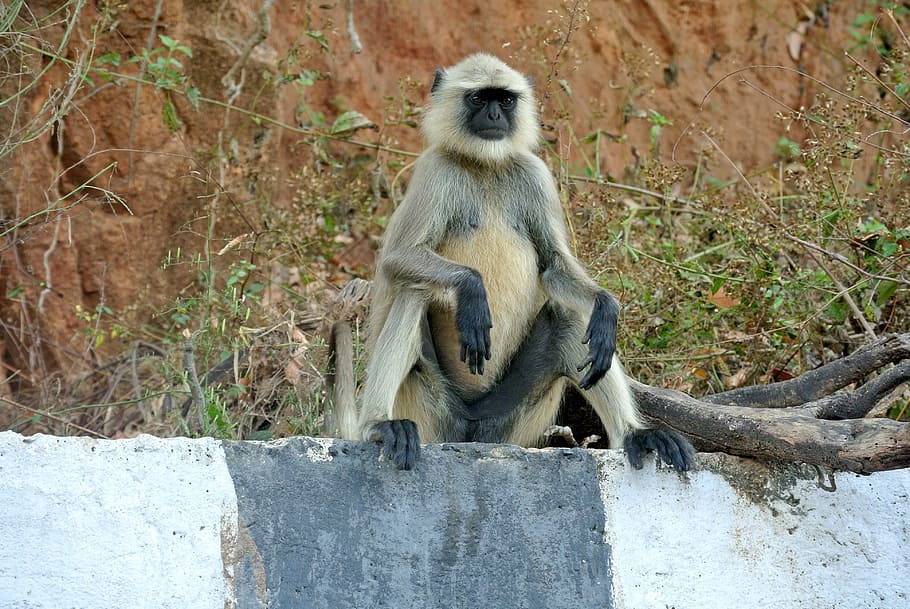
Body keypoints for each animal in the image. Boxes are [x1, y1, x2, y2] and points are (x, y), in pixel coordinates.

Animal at [340, 53, 694, 472]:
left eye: (506, 101)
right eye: (479, 99)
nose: (495, 115)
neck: (486, 166)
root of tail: (470, 431)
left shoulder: (534, 175)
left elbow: (555, 266)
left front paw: (607, 307)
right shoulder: (436, 170)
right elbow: (397, 259)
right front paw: (472, 291)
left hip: (508, 420)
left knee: (570, 317)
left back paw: (636, 434)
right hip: (430, 409)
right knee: (414, 291)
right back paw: (379, 424)